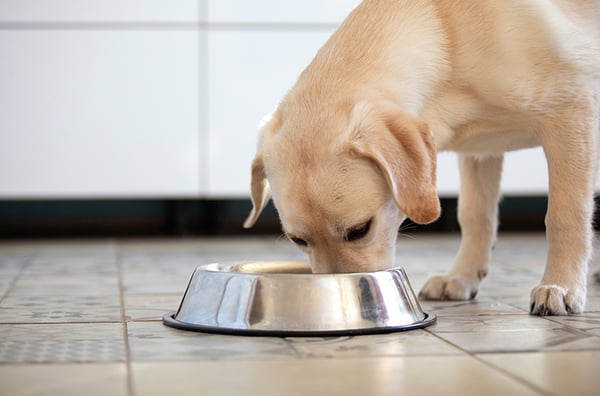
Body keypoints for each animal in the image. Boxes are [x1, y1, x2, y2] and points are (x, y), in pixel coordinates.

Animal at [243, 0, 600, 316]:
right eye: (298, 240)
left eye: (360, 230)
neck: (446, 34)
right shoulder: (480, 151)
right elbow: (475, 216)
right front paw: (462, 277)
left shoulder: (571, 113)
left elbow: (565, 215)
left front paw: (561, 285)